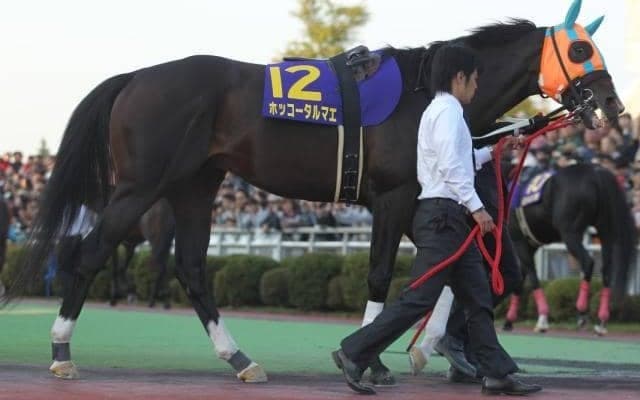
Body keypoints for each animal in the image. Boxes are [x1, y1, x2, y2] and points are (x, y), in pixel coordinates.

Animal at [504, 163, 636, 335]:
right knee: (607, 270)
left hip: (570, 233)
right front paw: (509, 320)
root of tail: (596, 173)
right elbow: (519, 280)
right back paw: (601, 320)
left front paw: (542, 320)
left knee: (588, 262)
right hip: (605, 231)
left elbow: (532, 278)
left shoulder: (519, 241)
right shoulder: (529, 245)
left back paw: (581, 311)